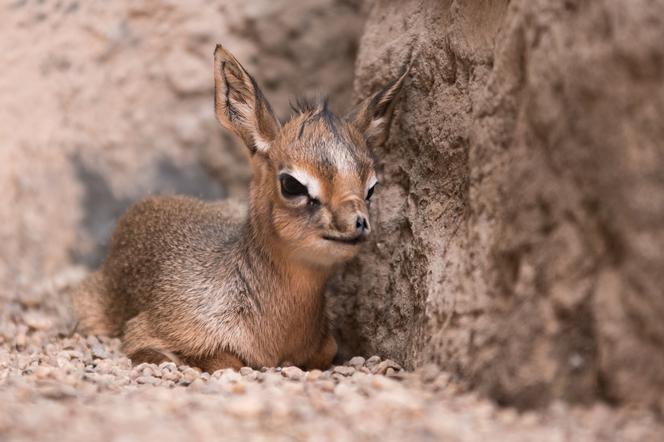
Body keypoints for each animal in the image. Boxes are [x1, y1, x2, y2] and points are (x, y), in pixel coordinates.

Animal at [71, 45, 404, 372]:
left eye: (372, 187)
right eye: (292, 184)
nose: (357, 222)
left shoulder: (325, 347)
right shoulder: (146, 331)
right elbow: (218, 359)